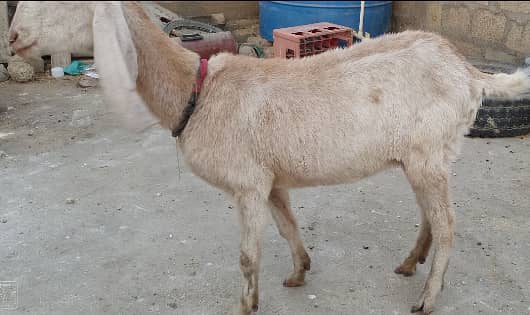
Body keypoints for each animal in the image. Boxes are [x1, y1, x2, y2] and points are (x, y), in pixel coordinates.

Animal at [9, 1, 528, 314]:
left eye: (67, 3)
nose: (12, 37)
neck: (199, 89)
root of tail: (467, 70)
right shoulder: (270, 180)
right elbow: (287, 226)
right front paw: (299, 271)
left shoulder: (246, 184)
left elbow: (247, 255)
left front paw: (246, 304)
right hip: (425, 156)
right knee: (430, 216)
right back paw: (409, 262)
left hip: (428, 154)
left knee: (448, 225)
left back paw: (427, 296)